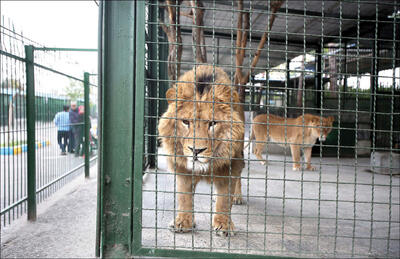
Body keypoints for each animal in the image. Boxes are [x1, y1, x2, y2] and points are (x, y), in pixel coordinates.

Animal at [157, 65, 244, 238]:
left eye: (212, 123)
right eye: (185, 122)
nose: (196, 150)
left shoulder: (230, 167)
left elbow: (224, 199)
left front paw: (224, 224)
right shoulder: (182, 169)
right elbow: (184, 197)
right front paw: (183, 222)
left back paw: (237, 197)